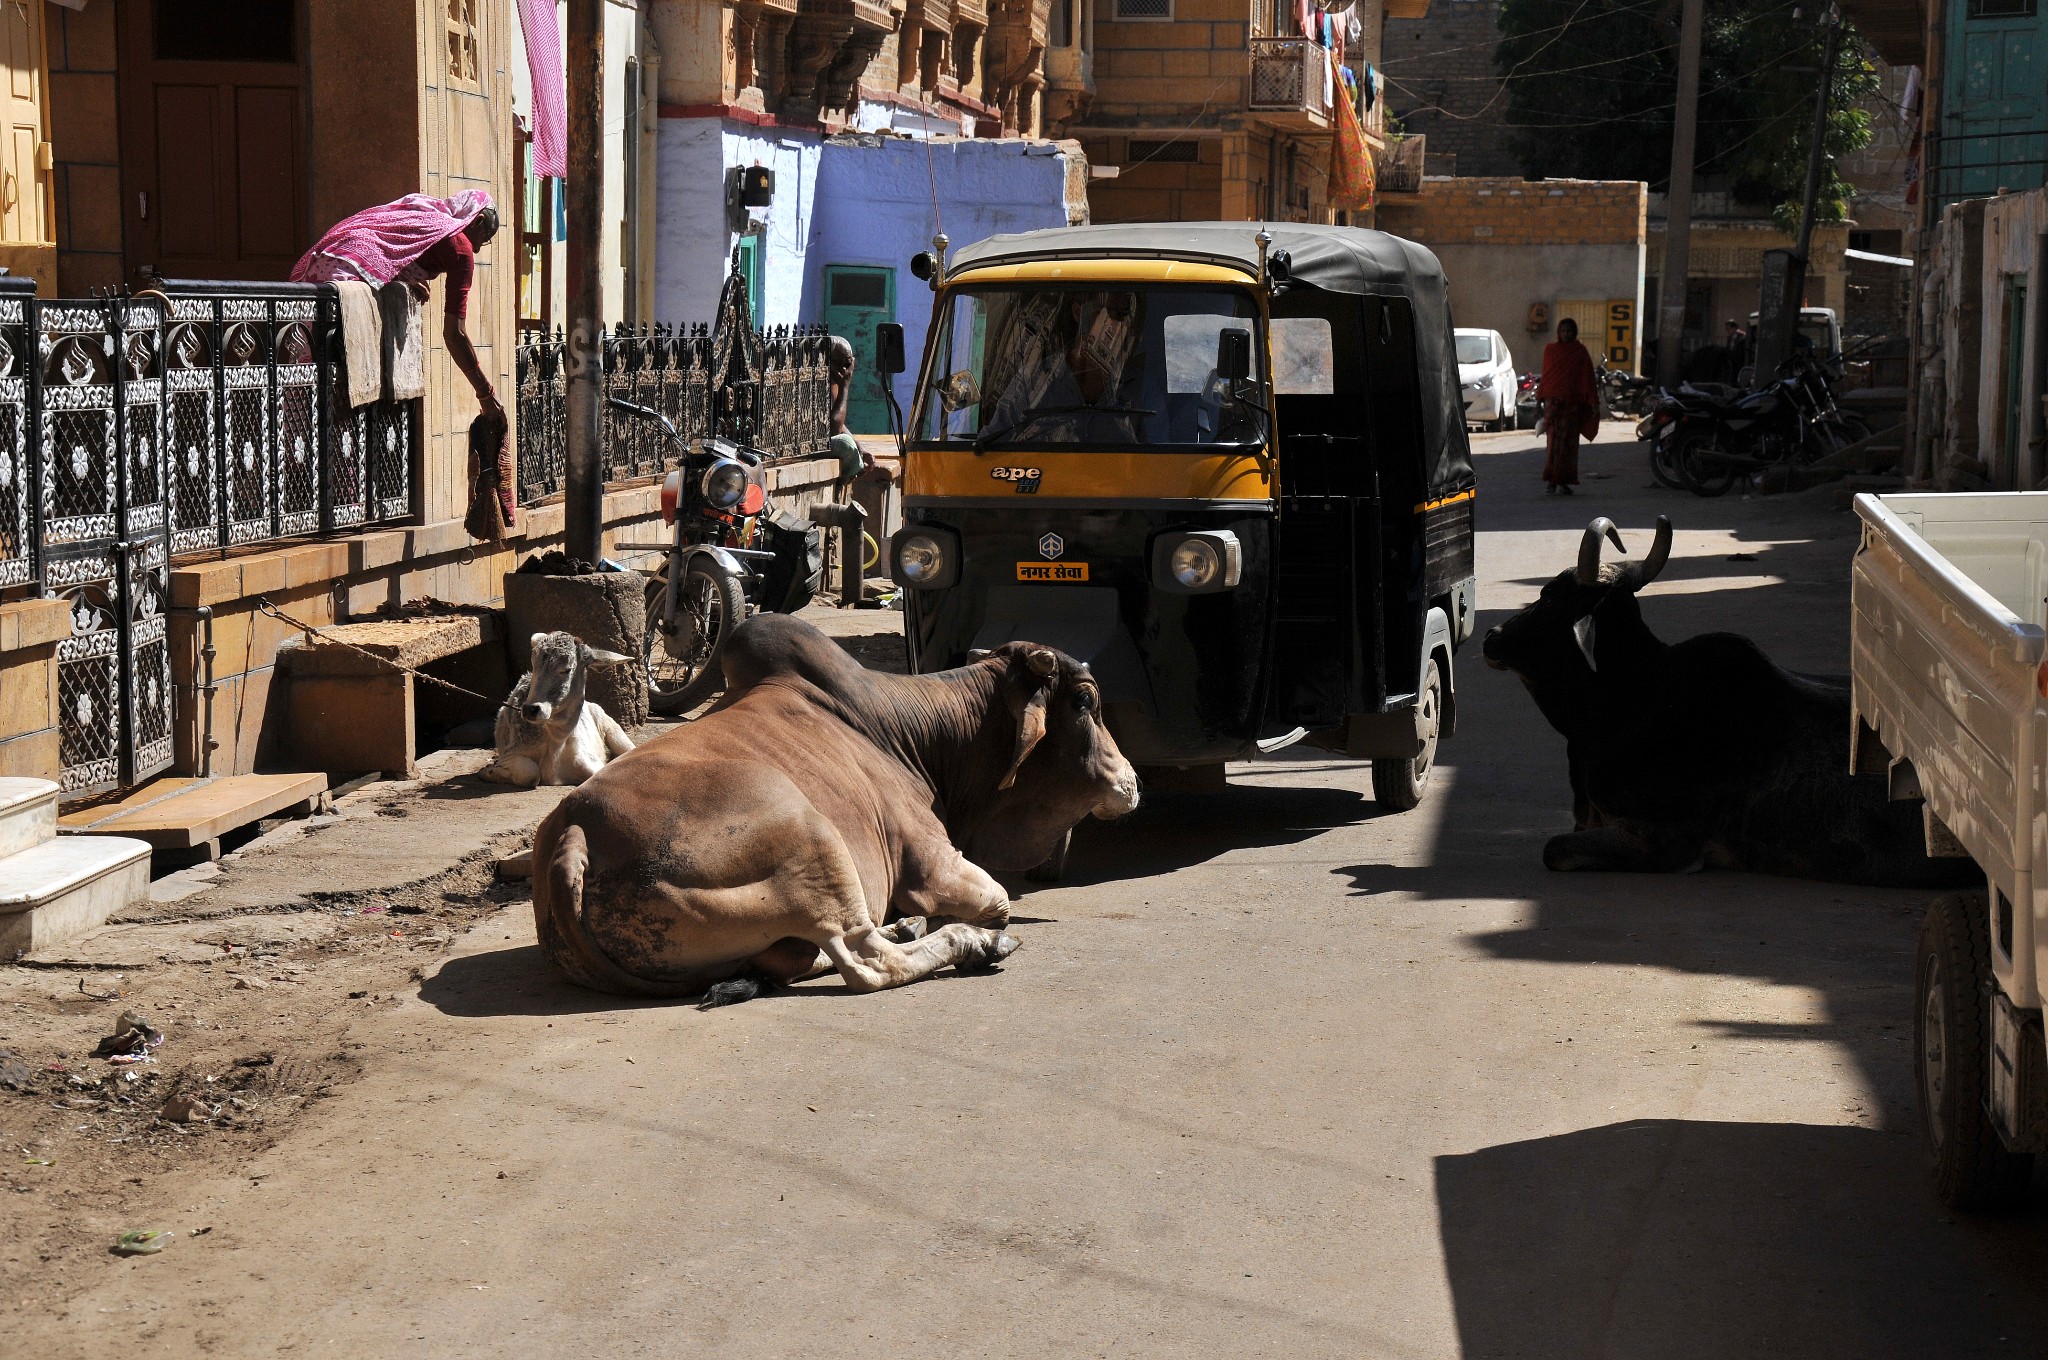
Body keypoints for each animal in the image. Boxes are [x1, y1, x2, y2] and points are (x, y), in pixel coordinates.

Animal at [481, 634, 634, 790]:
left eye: (566, 670)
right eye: (534, 665)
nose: (530, 710)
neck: (557, 742)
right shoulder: (508, 754)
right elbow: (530, 773)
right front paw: (489, 771)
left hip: (614, 731)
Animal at [532, 610, 1138, 1003]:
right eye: (1085, 702)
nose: (1132, 780)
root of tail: (575, 833)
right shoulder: (936, 863)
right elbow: (998, 900)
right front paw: (968, 927)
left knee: (802, 955)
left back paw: (905, 929)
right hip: (816, 841)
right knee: (866, 962)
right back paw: (971, 944)